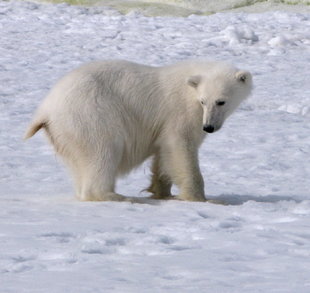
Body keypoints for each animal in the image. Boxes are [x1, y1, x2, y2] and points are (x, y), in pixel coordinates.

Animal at [24, 59, 252, 201]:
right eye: (203, 101)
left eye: (221, 101)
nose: (209, 127)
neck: (190, 85)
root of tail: (45, 110)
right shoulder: (181, 113)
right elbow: (180, 147)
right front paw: (201, 198)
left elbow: (164, 153)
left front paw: (161, 191)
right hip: (91, 114)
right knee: (102, 150)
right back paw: (116, 196)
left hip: (65, 132)